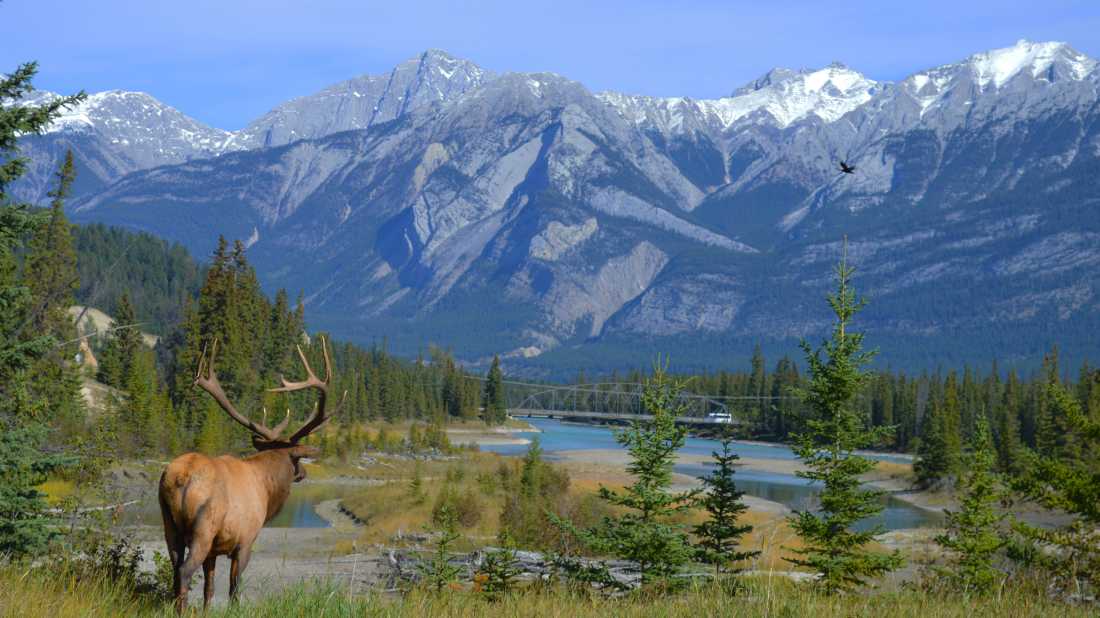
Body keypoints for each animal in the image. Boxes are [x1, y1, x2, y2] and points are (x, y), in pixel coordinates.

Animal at [158, 337, 345, 613]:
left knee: (174, 569)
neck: (266, 489)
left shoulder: (214, 550)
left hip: (169, 525)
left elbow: (209, 590)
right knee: (184, 572)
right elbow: (234, 589)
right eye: (297, 458)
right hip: (203, 527)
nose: (303, 473)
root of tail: (181, 478)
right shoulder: (245, 541)